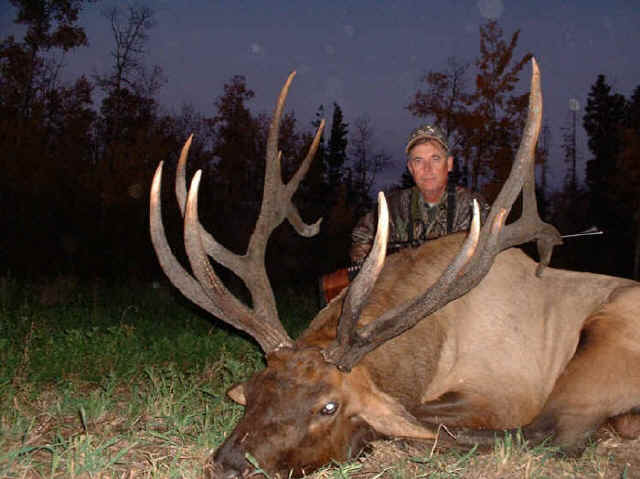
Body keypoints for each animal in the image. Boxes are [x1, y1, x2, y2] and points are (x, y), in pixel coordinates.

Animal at [149, 59, 640, 478]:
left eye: (328, 407)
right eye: (253, 390)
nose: (229, 465)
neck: (436, 341)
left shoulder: (507, 391)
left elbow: (422, 423)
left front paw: (367, 438)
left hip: (606, 333)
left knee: (552, 434)